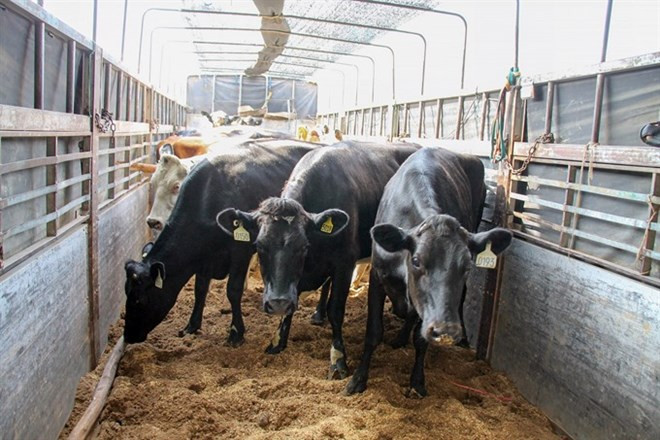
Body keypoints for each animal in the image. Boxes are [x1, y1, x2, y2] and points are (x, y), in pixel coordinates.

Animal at [123, 139, 316, 345]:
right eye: (127, 292)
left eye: (140, 300)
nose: (129, 336)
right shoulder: (204, 258)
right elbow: (200, 289)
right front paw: (192, 325)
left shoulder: (240, 251)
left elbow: (233, 290)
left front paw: (236, 332)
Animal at [216, 141, 419, 379]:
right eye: (258, 246)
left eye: (303, 246)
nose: (277, 303)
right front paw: (277, 342)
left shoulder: (344, 263)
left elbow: (336, 311)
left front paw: (338, 360)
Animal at [345, 147, 512, 397]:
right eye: (416, 261)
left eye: (467, 266)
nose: (446, 329)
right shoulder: (377, 276)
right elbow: (373, 332)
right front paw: (357, 380)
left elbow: (421, 338)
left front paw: (417, 382)